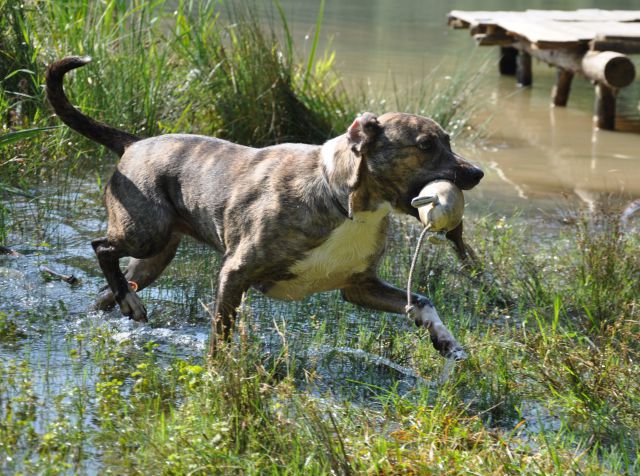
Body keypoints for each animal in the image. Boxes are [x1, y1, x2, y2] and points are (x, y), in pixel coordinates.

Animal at [47, 56, 482, 360]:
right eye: (426, 144)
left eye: (448, 140)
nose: (476, 173)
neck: (343, 200)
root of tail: (134, 143)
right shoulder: (234, 274)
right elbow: (221, 333)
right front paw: (218, 373)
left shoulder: (359, 287)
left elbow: (422, 302)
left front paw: (446, 341)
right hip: (144, 232)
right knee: (102, 247)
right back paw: (124, 295)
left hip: (153, 258)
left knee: (111, 286)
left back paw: (121, 303)